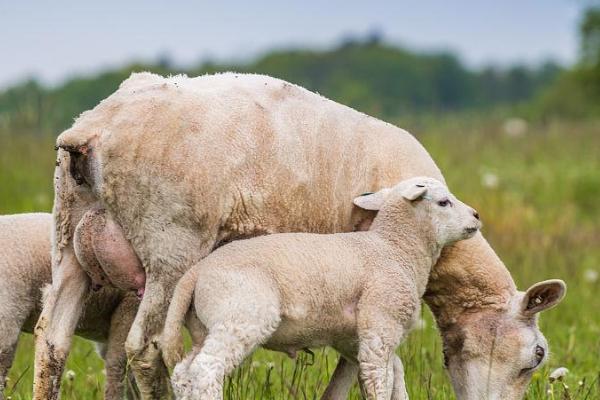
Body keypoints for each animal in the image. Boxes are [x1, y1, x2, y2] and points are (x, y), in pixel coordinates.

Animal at [164, 178, 482, 400]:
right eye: (443, 202)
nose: (477, 216)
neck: (395, 248)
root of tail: (195, 273)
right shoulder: (381, 322)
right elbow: (380, 378)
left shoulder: (356, 336)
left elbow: (395, 372)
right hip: (241, 315)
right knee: (205, 370)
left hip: (204, 327)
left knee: (183, 372)